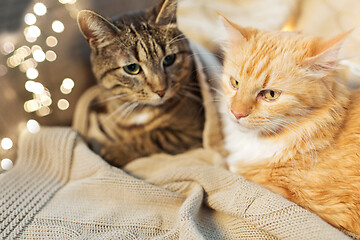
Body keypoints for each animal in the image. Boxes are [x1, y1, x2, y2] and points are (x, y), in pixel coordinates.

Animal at [75, 0, 205, 168]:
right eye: (132, 68)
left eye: (169, 59)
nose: (161, 90)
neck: (139, 111)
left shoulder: (193, 130)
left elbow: (154, 136)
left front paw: (115, 151)